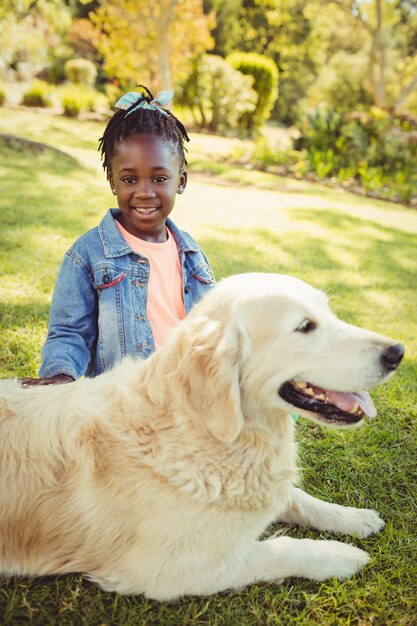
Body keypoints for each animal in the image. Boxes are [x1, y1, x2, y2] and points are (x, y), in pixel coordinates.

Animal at [0, 270, 404, 596]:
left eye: (329, 313)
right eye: (305, 327)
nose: (398, 352)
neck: (203, 430)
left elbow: (298, 498)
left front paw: (353, 517)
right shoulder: (173, 572)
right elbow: (282, 548)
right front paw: (342, 555)